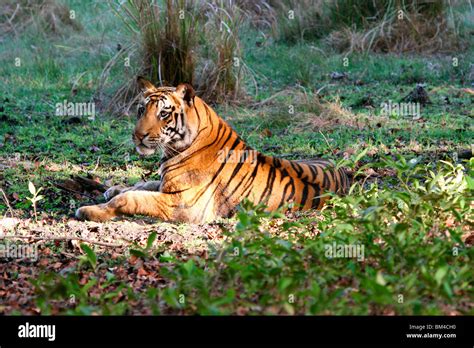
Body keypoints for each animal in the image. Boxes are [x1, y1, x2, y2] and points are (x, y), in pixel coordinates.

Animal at [76, 77, 350, 223]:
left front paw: (89, 210)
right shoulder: (167, 186)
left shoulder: (183, 203)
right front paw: (113, 188)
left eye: (163, 114)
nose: (138, 135)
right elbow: (142, 184)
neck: (174, 150)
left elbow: (131, 198)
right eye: (142, 110)